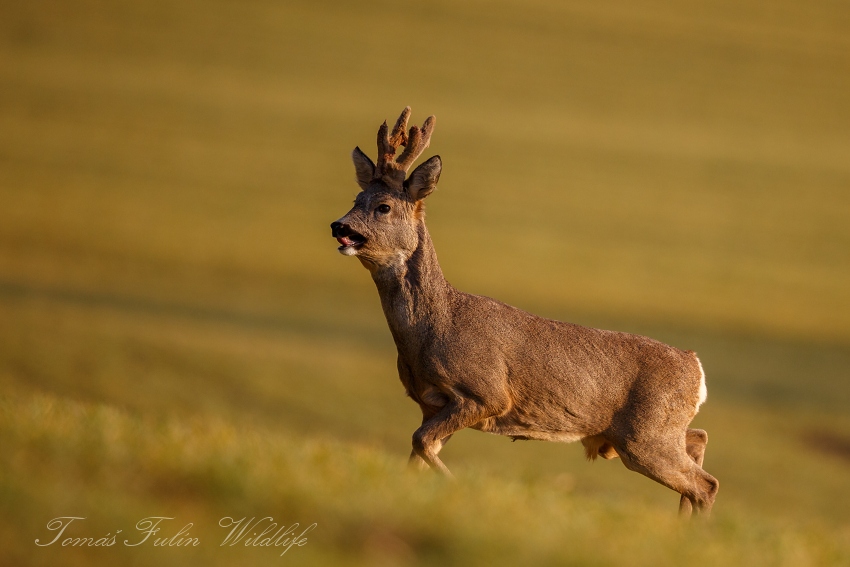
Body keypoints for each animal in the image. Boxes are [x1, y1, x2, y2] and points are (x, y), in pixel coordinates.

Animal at [330, 107, 716, 520]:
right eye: (356, 197)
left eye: (383, 207)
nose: (340, 226)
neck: (434, 328)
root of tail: (695, 367)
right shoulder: (430, 404)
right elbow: (416, 454)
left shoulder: (487, 393)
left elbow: (421, 443)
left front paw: (461, 491)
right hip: (648, 434)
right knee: (698, 443)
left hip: (645, 436)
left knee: (706, 484)